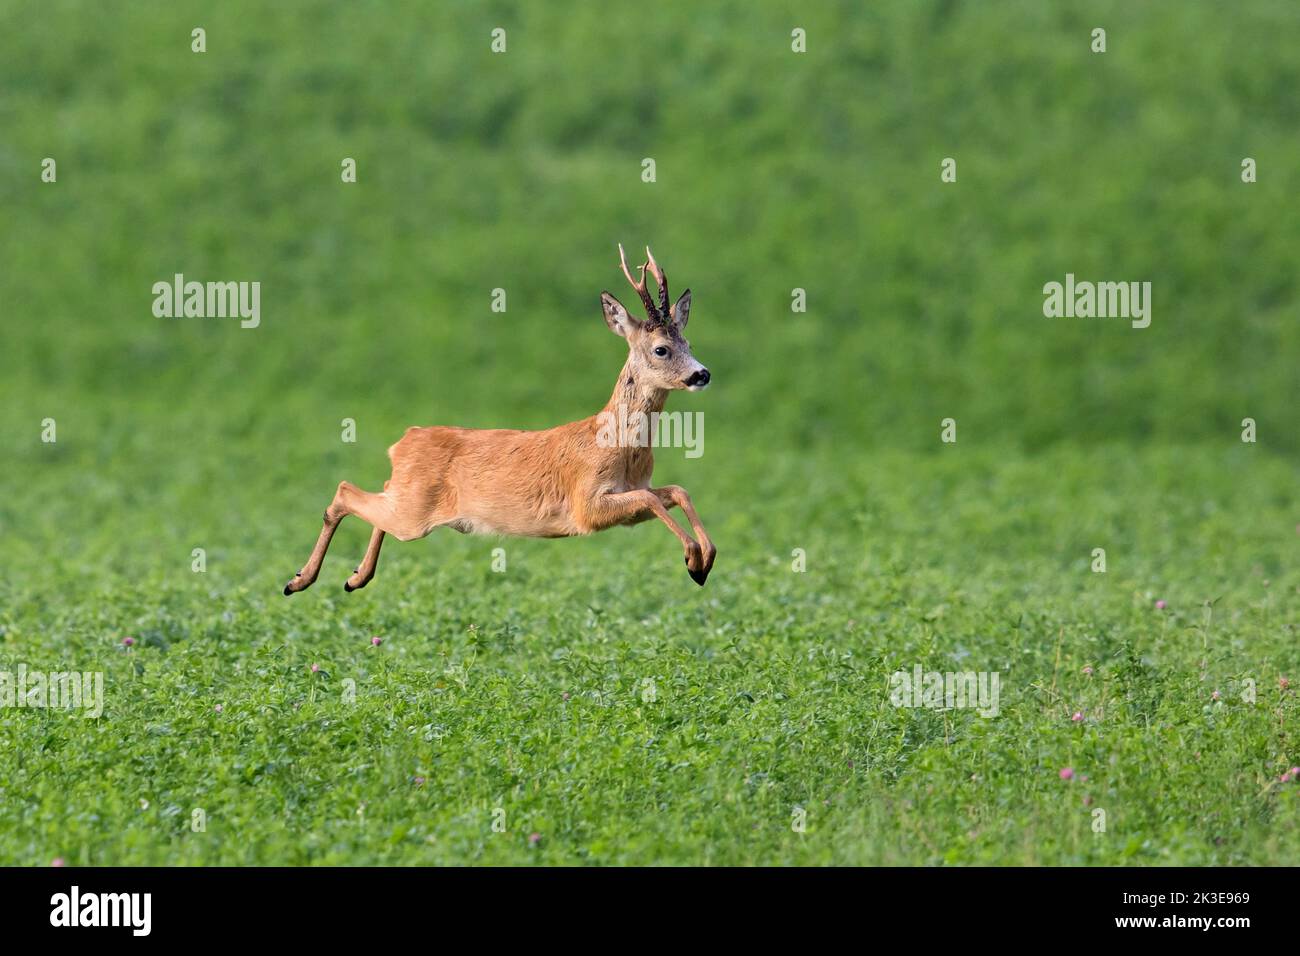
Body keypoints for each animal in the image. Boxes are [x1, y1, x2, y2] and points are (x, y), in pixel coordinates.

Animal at [282, 245, 716, 597]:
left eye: (689, 343)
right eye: (661, 349)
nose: (702, 374)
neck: (616, 444)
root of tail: (404, 440)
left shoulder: (629, 494)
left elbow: (676, 490)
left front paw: (704, 559)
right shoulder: (585, 505)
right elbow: (652, 497)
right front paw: (692, 559)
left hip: (408, 500)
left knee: (378, 497)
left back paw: (355, 577)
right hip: (413, 514)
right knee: (344, 492)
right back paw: (298, 580)